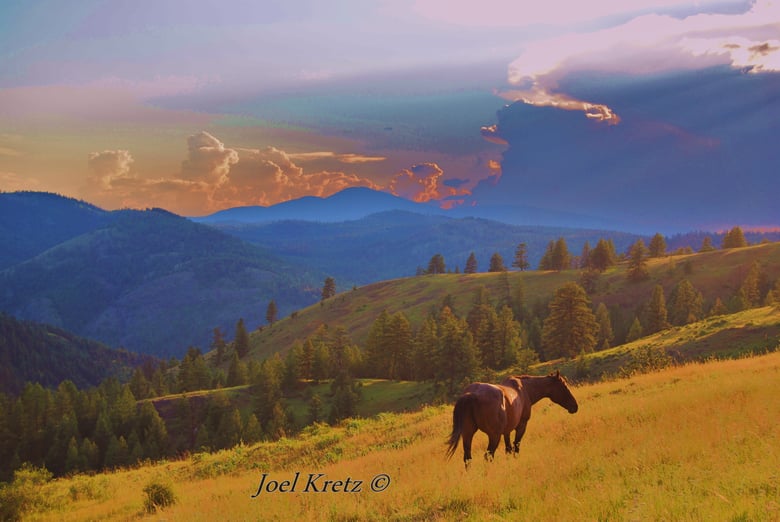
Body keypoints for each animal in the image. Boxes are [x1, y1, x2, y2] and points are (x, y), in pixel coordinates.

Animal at [444, 370, 580, 468]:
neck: (525, 389)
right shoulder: (521, 426)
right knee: (488, 456)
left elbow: (508, 449)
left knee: (468, 458)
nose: (575, 406)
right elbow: (516, 447)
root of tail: (472, 394)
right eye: (564, 386)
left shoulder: (506, 431)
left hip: (468, 434)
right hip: (493, 436)